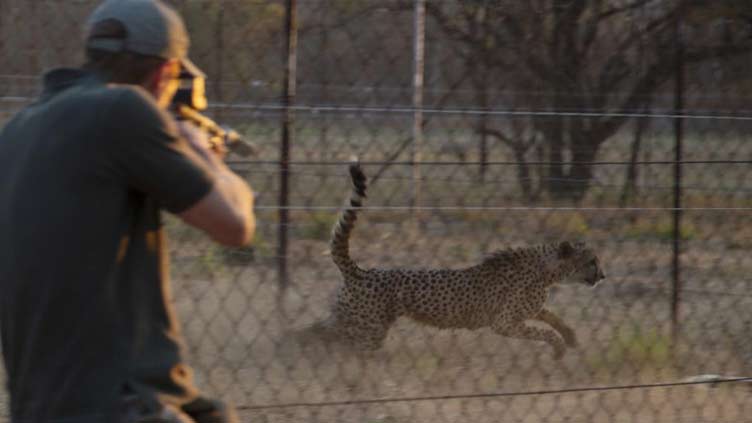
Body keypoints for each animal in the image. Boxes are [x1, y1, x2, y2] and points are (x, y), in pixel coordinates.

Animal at [312, 163, 604, 362]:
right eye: (591, 261)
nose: (602, 276)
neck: (546, 270)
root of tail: (361, 271)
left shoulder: (525, 311)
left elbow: (550, 315)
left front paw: (570, 336)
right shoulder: (505, 323)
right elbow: (542, 331)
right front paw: (559, 348)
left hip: (353, 318)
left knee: (318, 330)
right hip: (368, 328)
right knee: (331, 338)